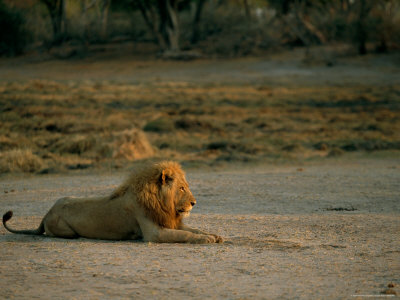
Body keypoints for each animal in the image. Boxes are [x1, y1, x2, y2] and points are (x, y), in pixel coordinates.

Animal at [1, 161, 223, 243]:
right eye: (182, 188)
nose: (194, 203)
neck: (163, 204)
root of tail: (48, 212)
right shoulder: (154, 233)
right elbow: (184, 234)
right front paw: (206, 239)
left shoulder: (170, 221)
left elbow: (194, 229)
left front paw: (214, 235)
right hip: (66, 231)